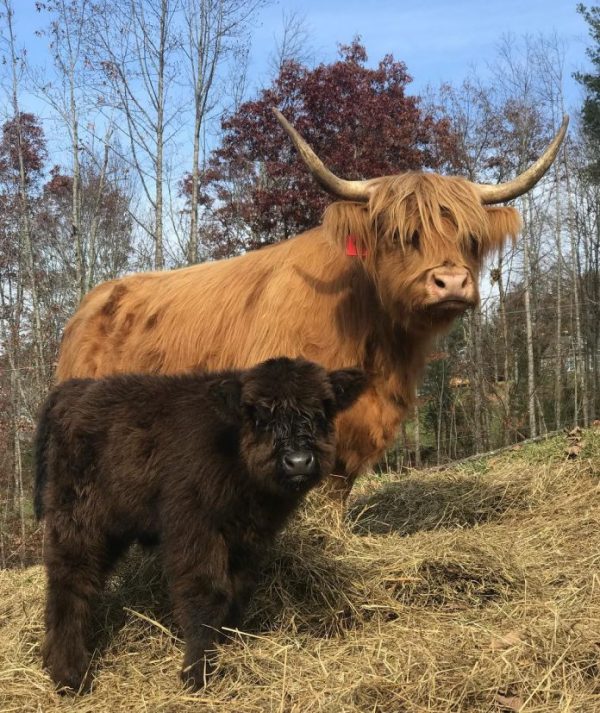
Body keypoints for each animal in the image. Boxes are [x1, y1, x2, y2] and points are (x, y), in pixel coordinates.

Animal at [34, 358, 366, 692]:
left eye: (321, 411)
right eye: (259, 415)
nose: (298, 461)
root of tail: (72, 390)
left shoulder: (249, 539)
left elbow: (238, 590)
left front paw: (227, 646)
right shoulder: (196, 529)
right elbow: (208, 594)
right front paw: (197, 672)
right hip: (79, 518)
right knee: (72, 581)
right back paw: (70, 675)